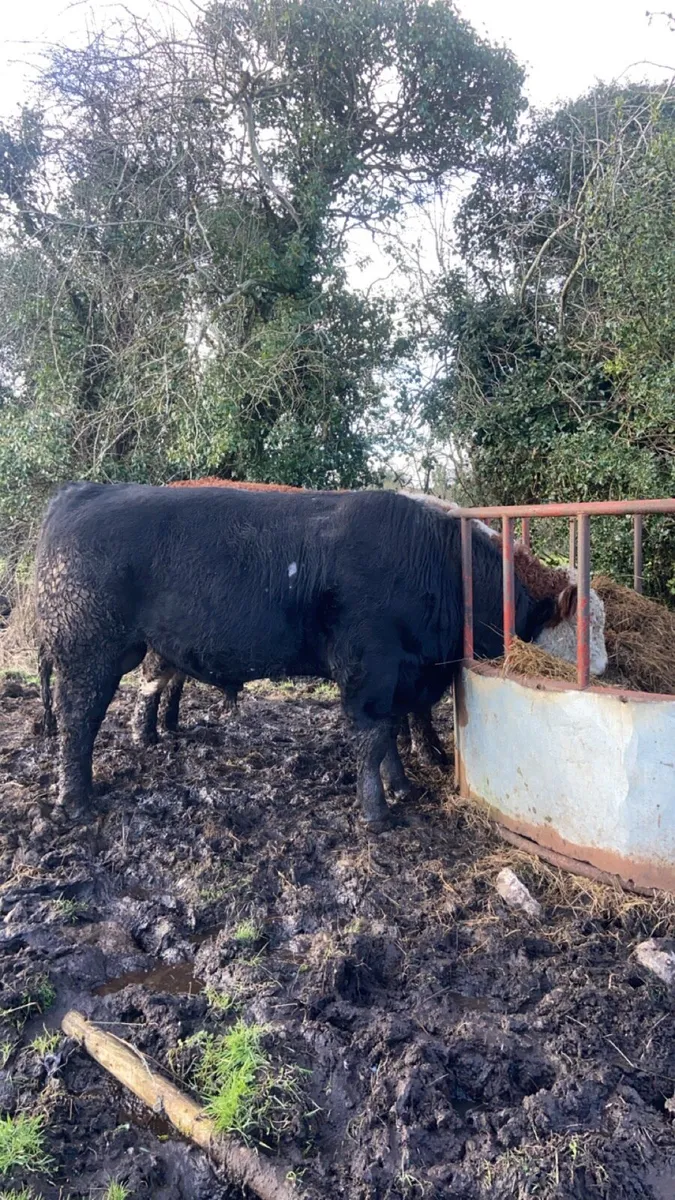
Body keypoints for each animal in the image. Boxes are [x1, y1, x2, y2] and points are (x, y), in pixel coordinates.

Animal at [35, 482, 561, 829]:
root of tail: (84, 492)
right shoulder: (367, 669)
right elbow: (372, 737)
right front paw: (377, 812)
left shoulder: (399, 676)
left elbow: (392, 732)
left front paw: (402, 786)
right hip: (88, 650)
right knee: (77, 720)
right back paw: (76, 802)